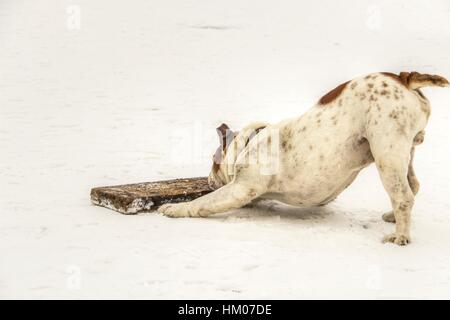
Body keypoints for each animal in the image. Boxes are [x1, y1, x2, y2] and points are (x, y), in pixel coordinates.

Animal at [157, 71, 446, 245]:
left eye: (212, 161)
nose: (207, 178)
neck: (249, 143)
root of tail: (404, 77)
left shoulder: (240, 189)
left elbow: (202, 203)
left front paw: (174, 209)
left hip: (386, 151)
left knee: (403, 196)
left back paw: (400, 236)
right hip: (403, 152)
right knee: (413, 185)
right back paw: (392, 217)